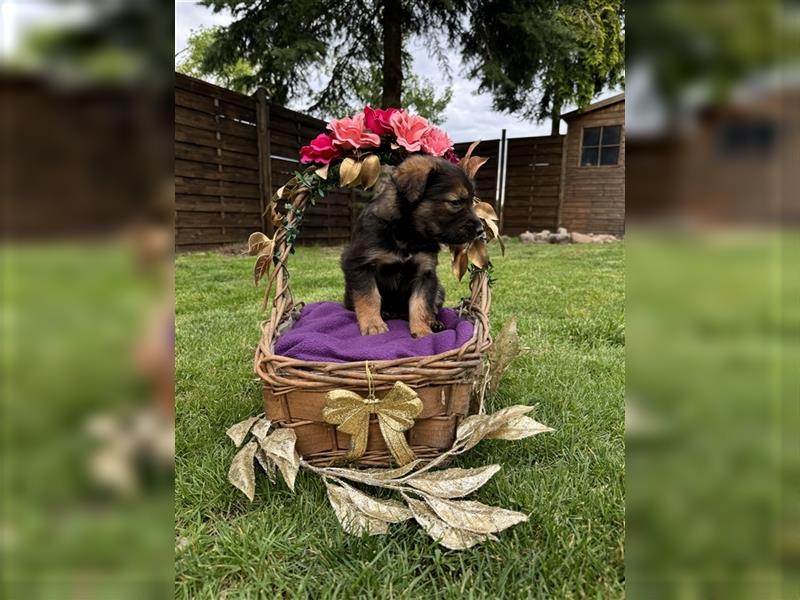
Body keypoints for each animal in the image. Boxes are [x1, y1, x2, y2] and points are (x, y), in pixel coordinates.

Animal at [342, 155, 482, 338]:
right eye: (456, 202)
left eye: (472, 201)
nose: (480, 230)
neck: (408, 234)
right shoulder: (360, 264)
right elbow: (370, 297)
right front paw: (373, 325)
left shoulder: (425, 272)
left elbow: (420, 303)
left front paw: (422, 330)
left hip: (438, 288)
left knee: (431, 307)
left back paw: (434, 322)